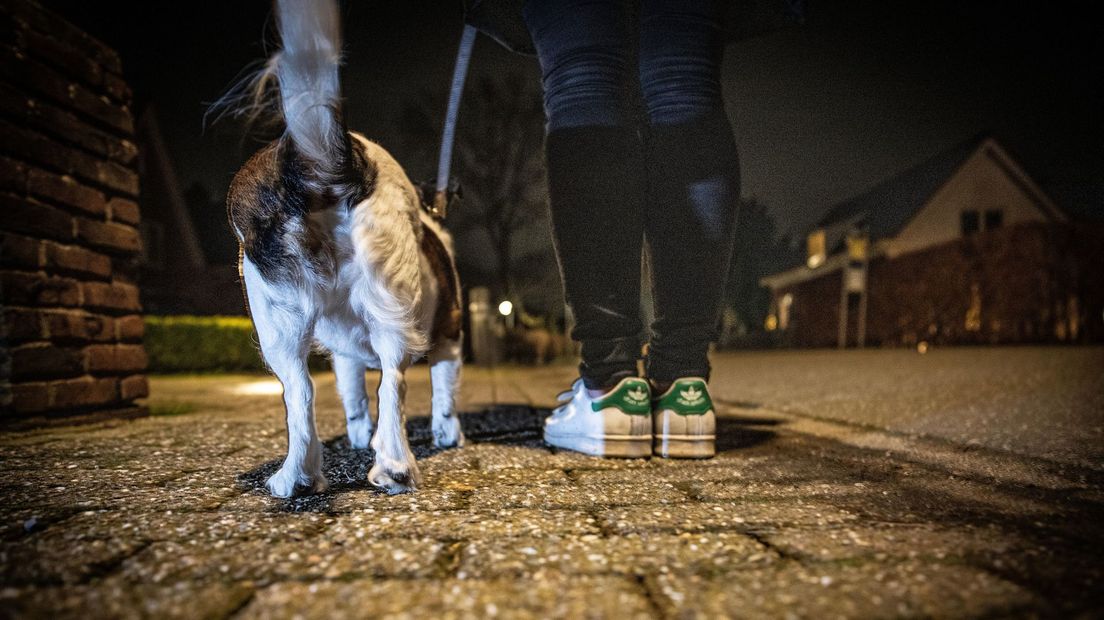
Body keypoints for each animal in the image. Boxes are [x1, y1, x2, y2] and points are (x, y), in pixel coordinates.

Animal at [226, 0, 463, 492]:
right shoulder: (451, 334)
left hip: (278, 323)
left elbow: (353, 399)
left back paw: (296, 477)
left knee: (299, 394)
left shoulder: (344, 358)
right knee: (394, 381)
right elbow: (444, 394)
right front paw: (449, 434)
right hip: (392, 300)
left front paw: (356, 436)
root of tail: (316, 165)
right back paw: (394, 466)